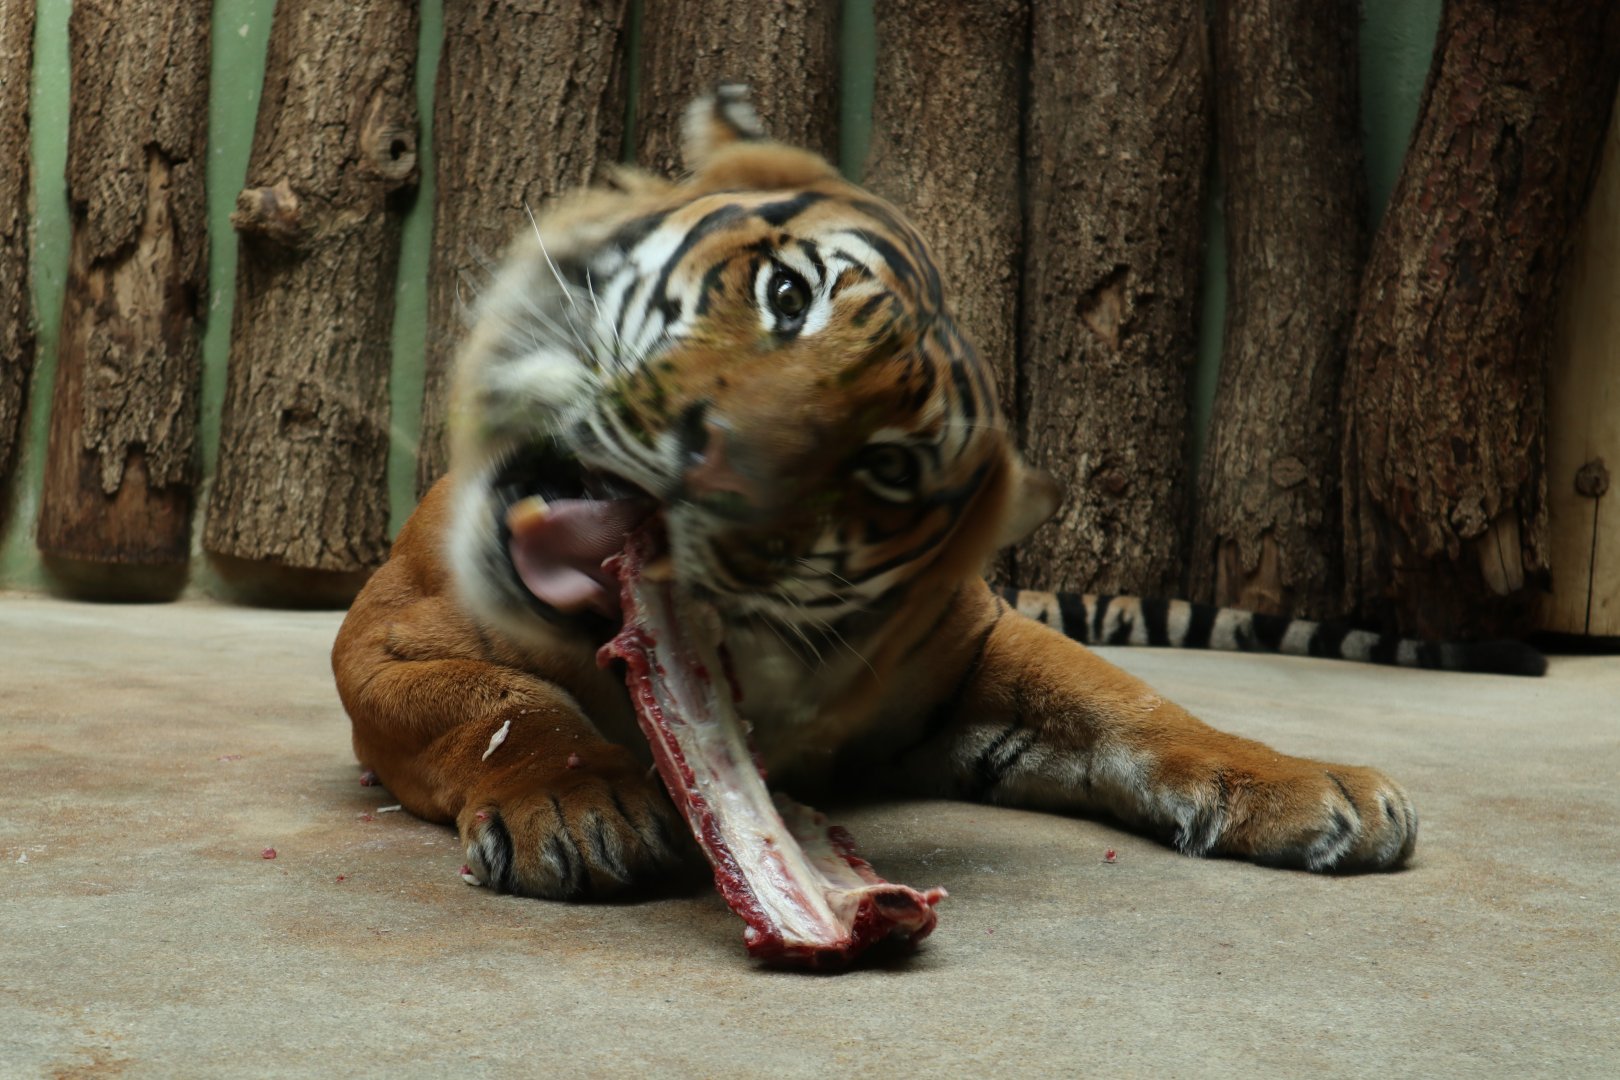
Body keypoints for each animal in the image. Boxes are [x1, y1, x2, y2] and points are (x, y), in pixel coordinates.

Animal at [332, 85, 1513, 903]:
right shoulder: (382, 644)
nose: (723, 466)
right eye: (787, 294)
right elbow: (502, 702)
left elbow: (1130, 703)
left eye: (888, 465)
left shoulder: (973, 649)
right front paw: (582, 804)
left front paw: (1310, 787)